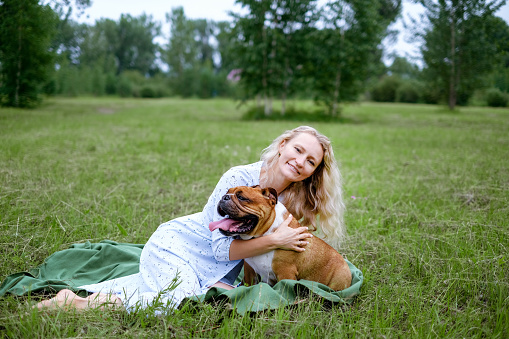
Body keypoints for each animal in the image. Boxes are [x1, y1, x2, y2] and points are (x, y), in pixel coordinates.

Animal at [208, 186, 352, 292]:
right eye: (227, 192)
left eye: (242, 197)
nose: (224, 197)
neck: (265, 234)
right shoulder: (249, 269)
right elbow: (248, 286)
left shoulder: (285, 273)